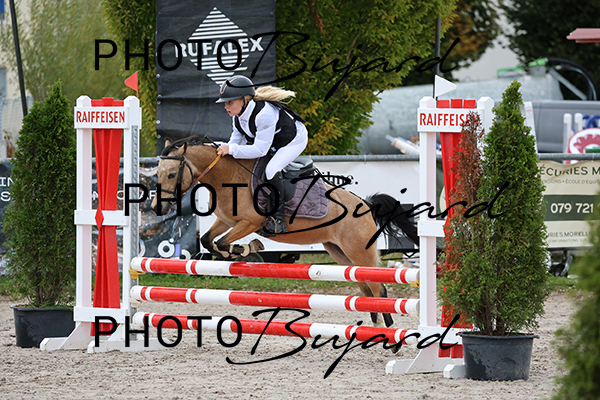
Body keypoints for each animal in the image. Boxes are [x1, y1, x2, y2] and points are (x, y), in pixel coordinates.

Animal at [151, 136, 419, 329]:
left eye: (172, 174)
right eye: (158, 173)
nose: (157, 208)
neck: (227, 177)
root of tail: (366, 204)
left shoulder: (250, 222)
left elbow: (225, 242)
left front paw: (246, 249)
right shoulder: (225, 220)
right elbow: (209, 240)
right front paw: (234, 253)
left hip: (360, 252)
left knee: (378, 289)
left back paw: (389, 334)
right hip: (341, 254)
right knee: (365, 289)